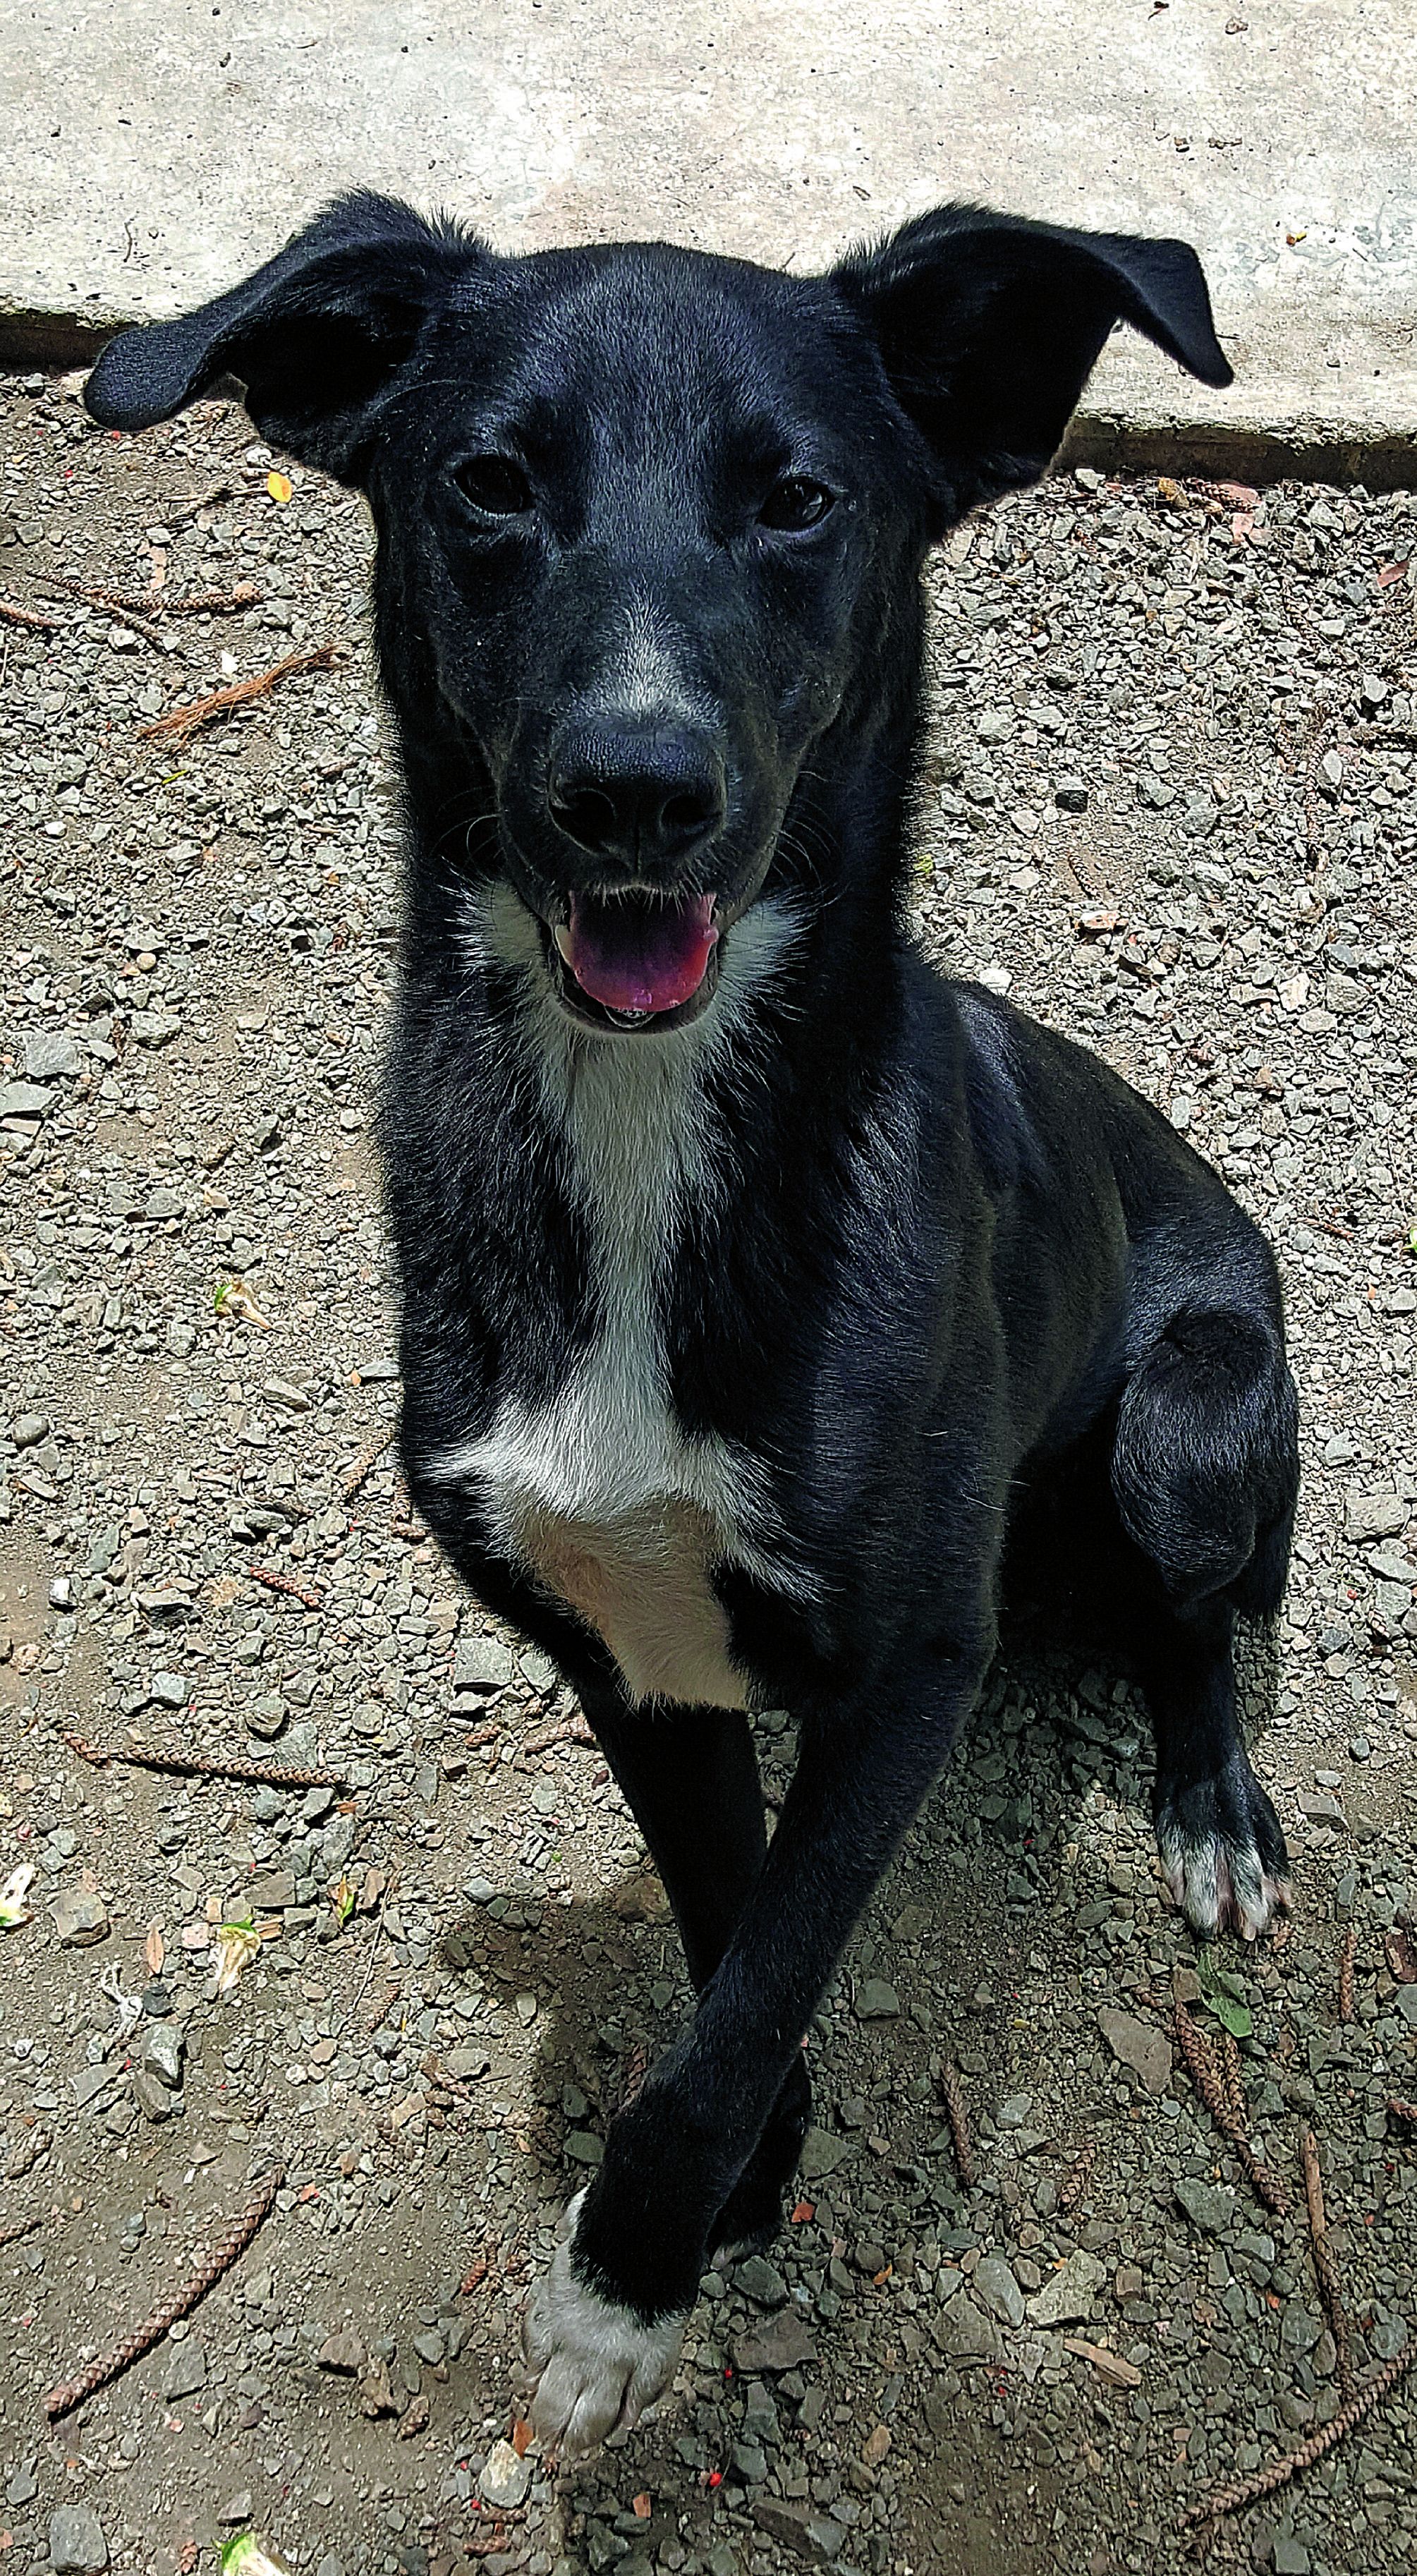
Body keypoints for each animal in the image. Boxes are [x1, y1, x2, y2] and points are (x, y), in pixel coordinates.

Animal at [89, 195, 1303, 2452]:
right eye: (489, 483)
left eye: (799, 499)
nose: (634, 789)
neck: (650, 1128)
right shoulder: (629, 1652)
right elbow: (734, 1936)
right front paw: (755, 2165)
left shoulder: (911, 1661)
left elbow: (748, 1986)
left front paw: (625, 2277)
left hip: (1195, 1409)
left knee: (1193, 1626)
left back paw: (1216, 1813)